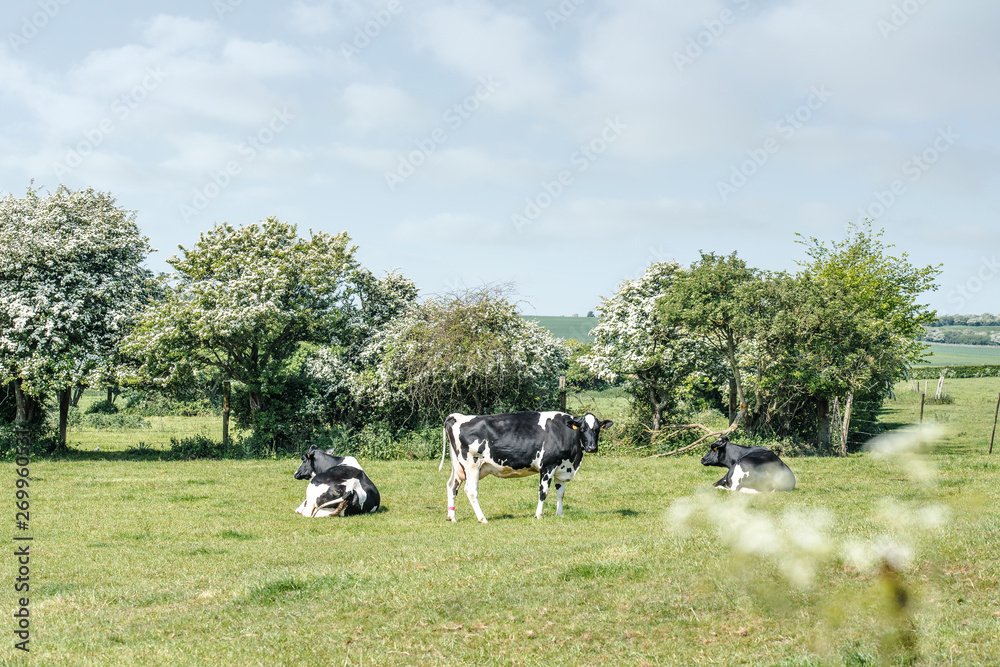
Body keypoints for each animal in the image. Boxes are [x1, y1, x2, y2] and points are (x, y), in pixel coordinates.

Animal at [439, 411, 613, 523]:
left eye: (597, 429)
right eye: (582, 429)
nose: (592, 447)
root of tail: (458, 417)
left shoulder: (561, 468)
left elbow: (560, 493)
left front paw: (560, 514)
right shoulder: (547, 466)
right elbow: (543, 492)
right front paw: (538, 515)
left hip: (458, 467)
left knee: (451, 486)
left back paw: (452, 517)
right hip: (472, 465)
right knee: (471, 491)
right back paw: (482, 519)